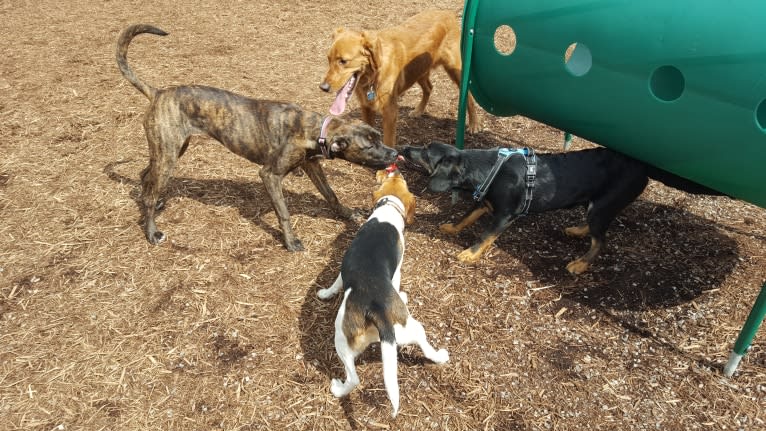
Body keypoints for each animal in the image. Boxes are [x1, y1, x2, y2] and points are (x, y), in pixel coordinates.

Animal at [118, 23, 402, 251]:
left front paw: (348, 213)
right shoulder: (270, 175)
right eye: (369, 146)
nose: (395, 153)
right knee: (150, 188)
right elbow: (284, 212)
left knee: (146, 177)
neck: (314, 129)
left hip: (171, 149)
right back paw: (152, 231)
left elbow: (330, 194)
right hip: (168, 156)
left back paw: (152, 203)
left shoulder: (312, 165)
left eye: (379, 136)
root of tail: (158, 93)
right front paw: (290, 241)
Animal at [322, 9, 484, 148]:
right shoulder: (366, 108)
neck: (372, 75)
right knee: (429, 87)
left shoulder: (390, 112)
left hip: (455, 69)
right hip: (419, 69)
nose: (323, 87)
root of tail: (446, 12)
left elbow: (388, 142)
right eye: (328, 59)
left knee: (468, 95)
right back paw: (419, 110)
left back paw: (474, 124)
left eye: (343, 61)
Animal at [402, 143, 728, 276]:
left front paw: (470, 254)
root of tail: (642, 165)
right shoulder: (485, 202)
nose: (405, 148)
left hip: (602, 207)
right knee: (595, 230)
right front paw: (451, 227)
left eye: (426, 153)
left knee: (601, 241)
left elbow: (484, 236)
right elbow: (466, 216)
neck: (488, 168)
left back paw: (580, 264)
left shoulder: (504, 215)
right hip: (596, 206)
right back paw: (577, 230)